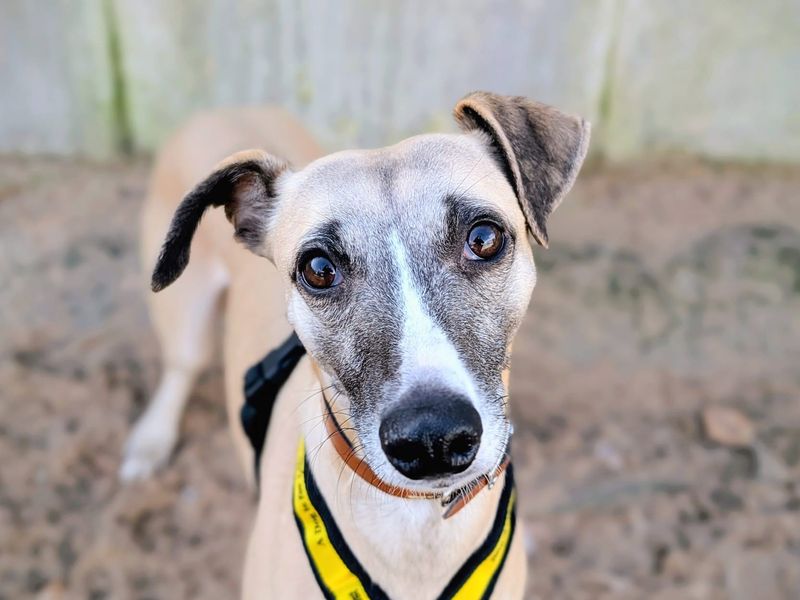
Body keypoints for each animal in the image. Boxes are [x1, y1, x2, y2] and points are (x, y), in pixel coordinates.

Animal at [121, 93, 589, 599]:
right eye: (318, 268)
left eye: (484, 238)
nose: (433, 439)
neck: (418, 523)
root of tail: (227, 109)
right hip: (187, 314)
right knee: (180, 368)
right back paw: (151, 441)